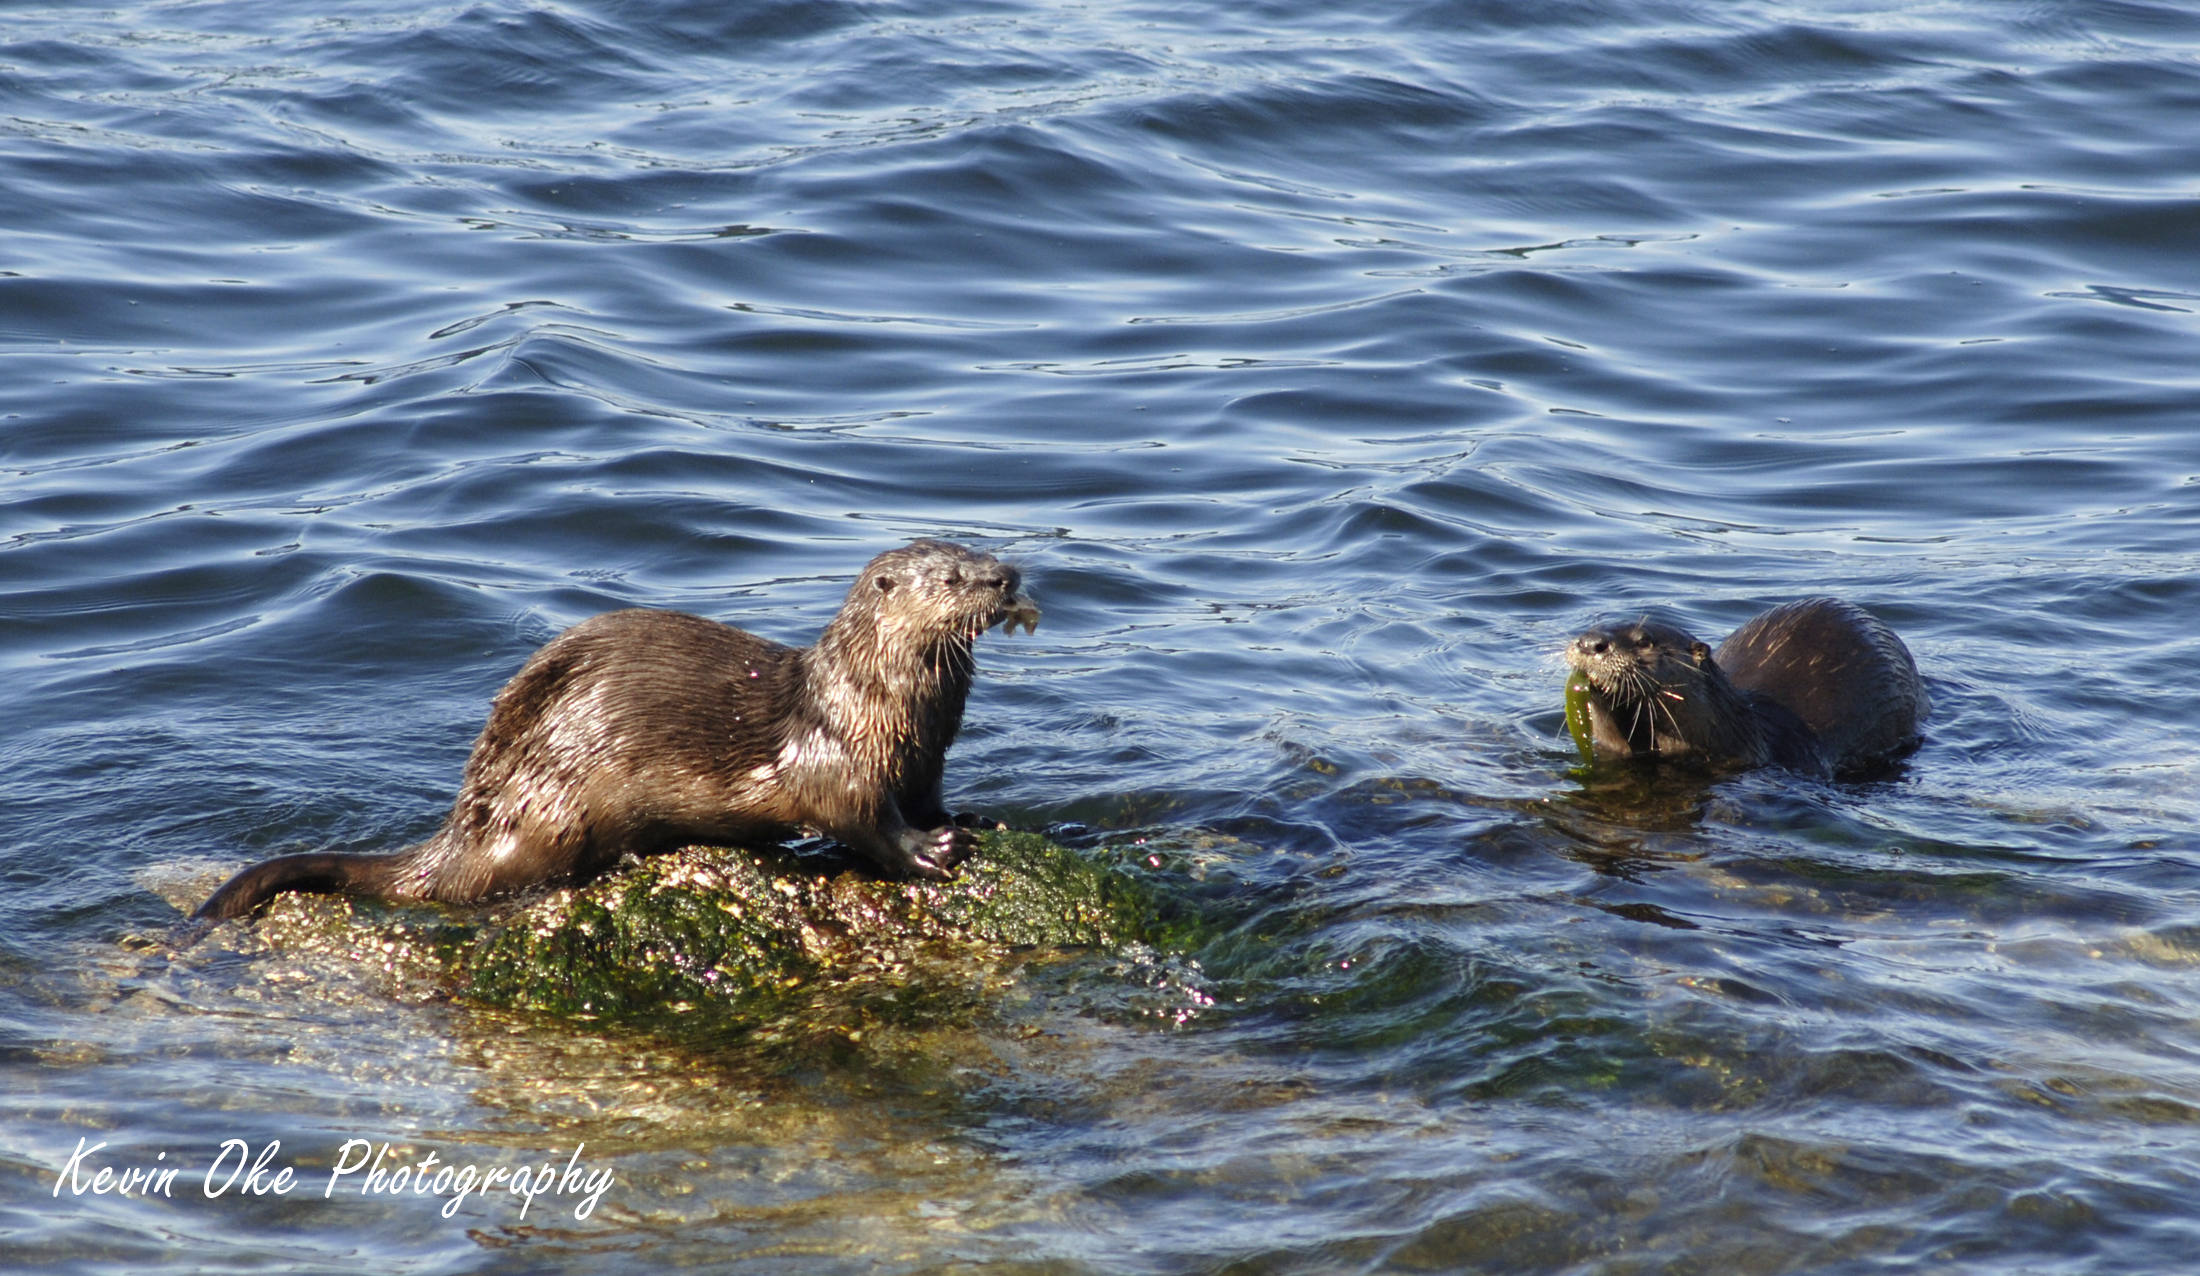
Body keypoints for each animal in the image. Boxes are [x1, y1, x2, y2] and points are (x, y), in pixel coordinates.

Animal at [195, 540, 1039, 922]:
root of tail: (466, 827)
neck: (884, 704)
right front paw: (930, 851)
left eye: (983, 551)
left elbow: (927, 795)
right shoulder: (841, 760)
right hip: (557, 811)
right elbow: (864, 821)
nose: (1010, 577)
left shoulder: (926, 758)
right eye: (953, 576)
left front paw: (969, 818)